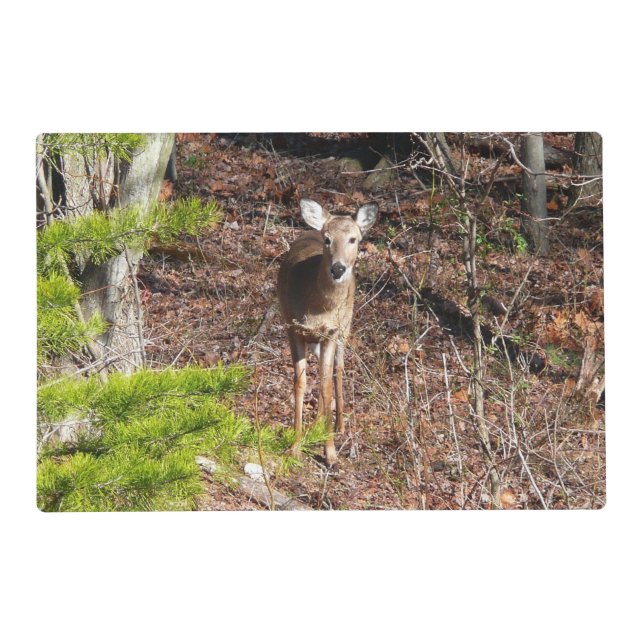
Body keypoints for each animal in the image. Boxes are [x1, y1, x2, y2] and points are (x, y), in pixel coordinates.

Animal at [277, 198, 379, 465]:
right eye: (327, 239)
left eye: (354, 239)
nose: (338, 269)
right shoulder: (292, 326)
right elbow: (300, 383)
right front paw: (295, 446)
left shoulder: (331, 332)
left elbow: (324, 386)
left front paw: (330, 453)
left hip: (346, 326)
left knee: (338, 370)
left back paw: (338, 425)